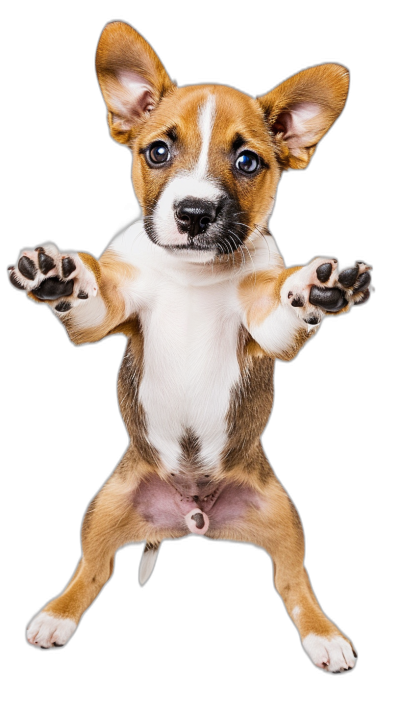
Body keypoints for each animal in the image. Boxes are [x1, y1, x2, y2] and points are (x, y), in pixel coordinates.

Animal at [8, 20, 372, 668]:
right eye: (157, 151)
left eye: (248, 161)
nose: (195, 211)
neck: (193, 274)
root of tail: (193, 518)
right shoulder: (112, 309)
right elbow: (89, 301)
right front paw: (61, 278)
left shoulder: (263, 324)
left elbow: (284, 308)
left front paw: (314, 287)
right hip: (106, 508)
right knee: (94, 568)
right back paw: (56, 616)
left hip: (285, 520)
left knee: (292, 579)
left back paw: (325, 636)